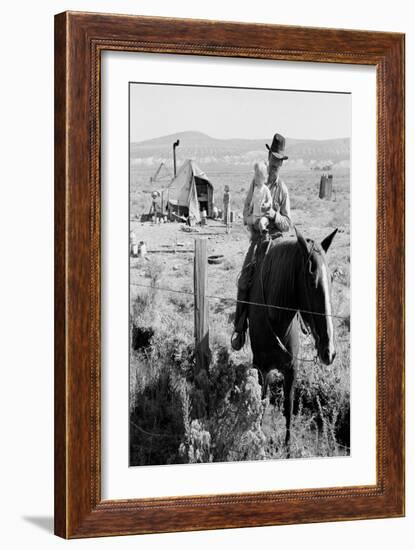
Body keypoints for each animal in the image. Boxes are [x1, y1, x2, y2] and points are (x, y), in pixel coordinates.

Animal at [247, 227, 338, 458]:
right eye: (312, 281)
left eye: (331, 280)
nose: (329, 352)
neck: (277, 319)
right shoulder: (262, 368)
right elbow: (261, 401)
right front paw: (258, 440)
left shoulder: (292, 369)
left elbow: (288, 406)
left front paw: (288, 448)